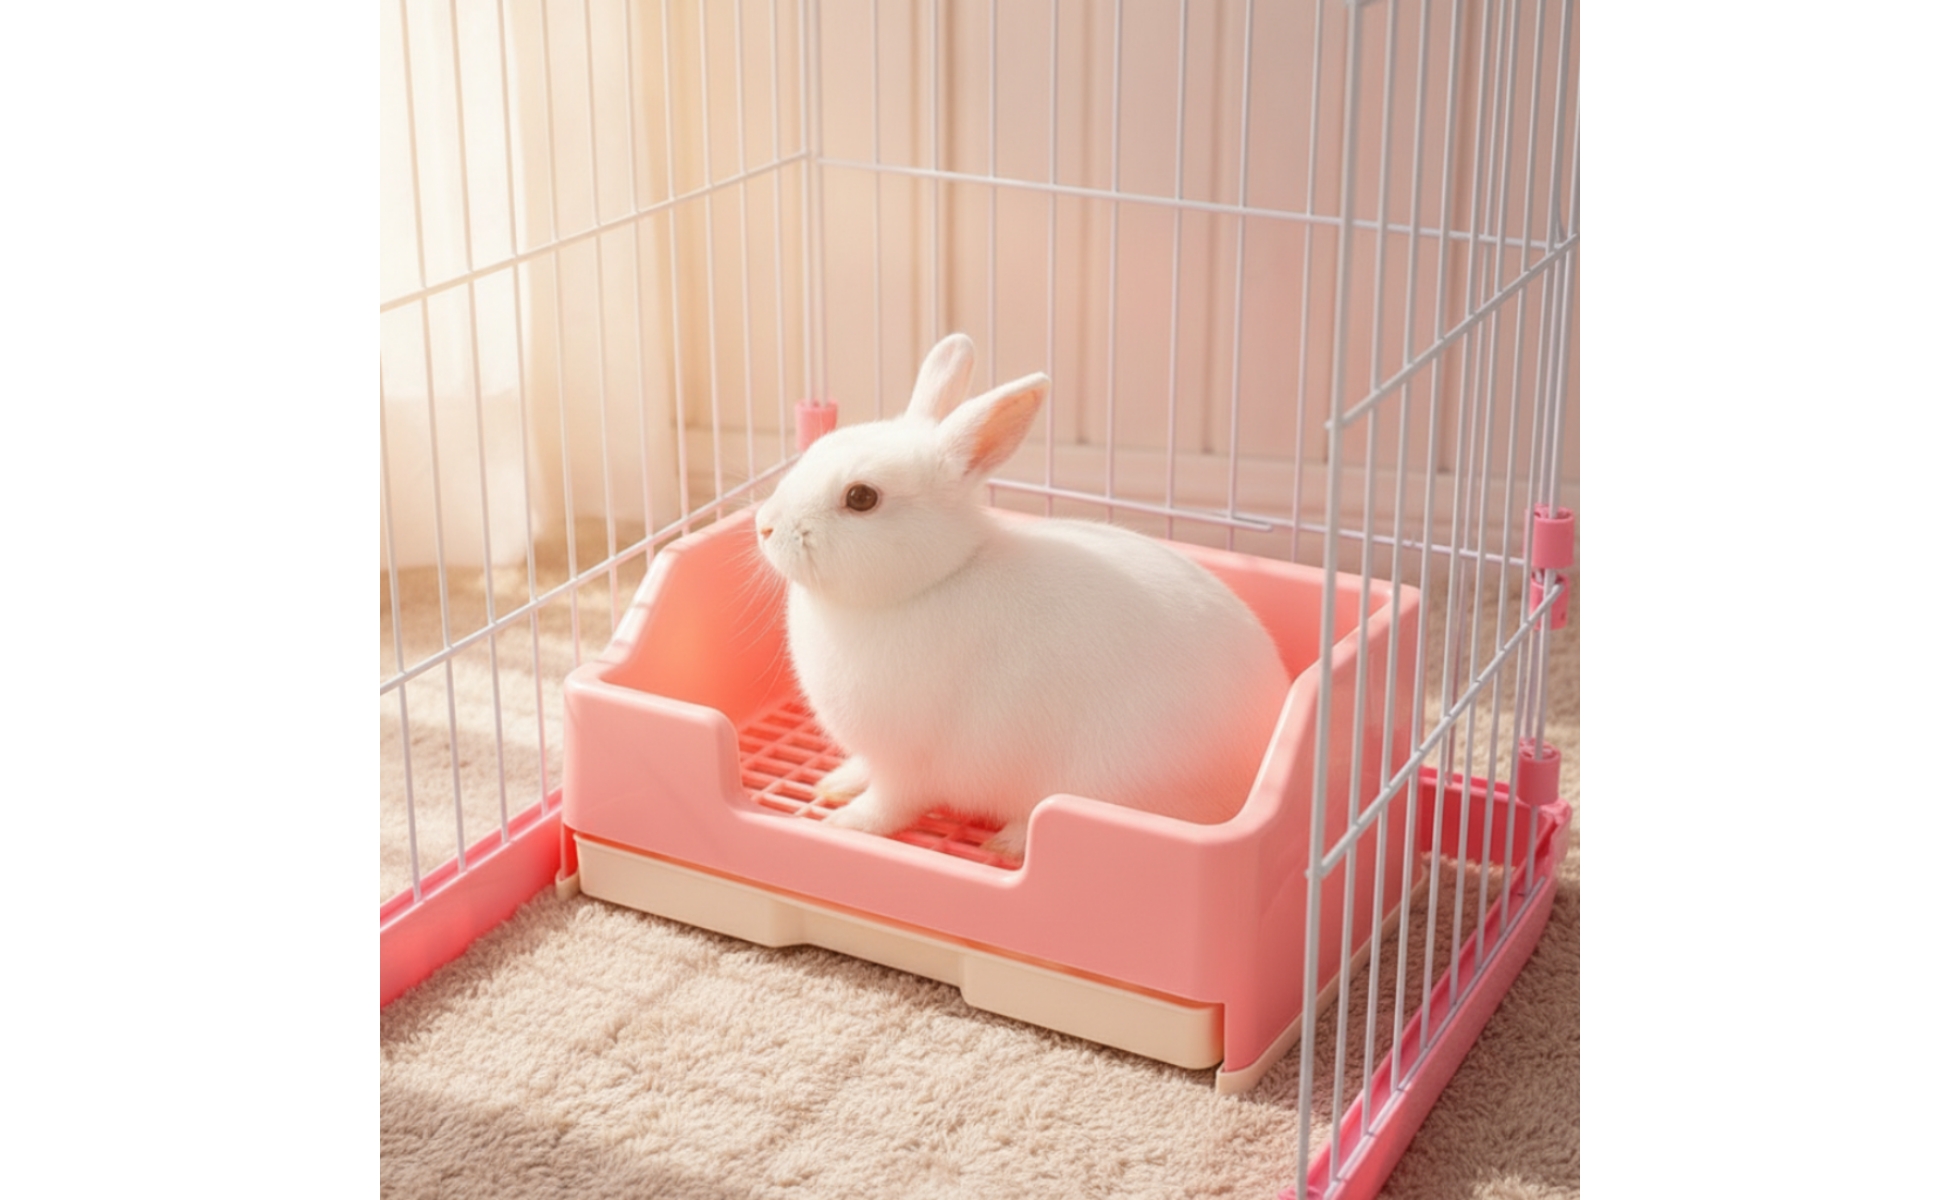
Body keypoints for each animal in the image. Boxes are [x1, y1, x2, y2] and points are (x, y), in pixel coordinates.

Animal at [752, 333, 1292, 861]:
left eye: (861, 498)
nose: (765, 525)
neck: (934, 580)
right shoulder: (879, 755)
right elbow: (862, 770)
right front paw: (833, 783)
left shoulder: (909, 765)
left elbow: (890, 806)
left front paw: (845, 822)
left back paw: (1010, 840)